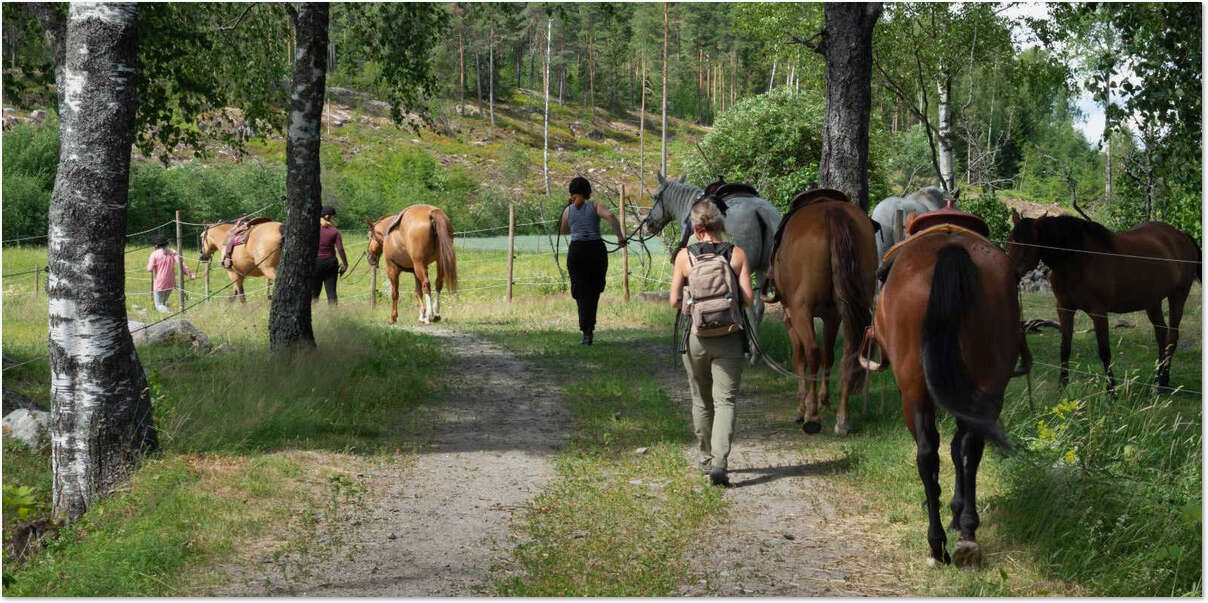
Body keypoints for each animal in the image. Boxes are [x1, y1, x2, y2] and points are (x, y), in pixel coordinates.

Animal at [642, 172, 782, 331]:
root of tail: (760, 210)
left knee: (750, 310)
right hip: (762, 270)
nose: (648, 223)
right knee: (759, 309)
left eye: (654, 196)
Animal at [758, 188, 874, 435]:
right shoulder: (833, 315)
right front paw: (824, 399)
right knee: (849, 352)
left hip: (801, 311)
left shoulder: (791, 317)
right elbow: (829, 355)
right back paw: (842, 418)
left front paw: (803, 407)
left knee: (811, 352)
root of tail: (831, 212)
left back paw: (811, 415)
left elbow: (800, 356)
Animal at [869, 218, 1029, 570]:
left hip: (913, 391)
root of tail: (950, 250)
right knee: (969, 449)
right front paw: (958, 514)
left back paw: (937, 543)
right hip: (988, 385)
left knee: (928, 453)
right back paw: (967, 534)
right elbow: (959, 449)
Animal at [1005, 212, 1203, 389]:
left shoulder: (1099, 313)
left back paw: (1163, 382)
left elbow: (1104, 352)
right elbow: (1065, 348)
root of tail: (1182, 236)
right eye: (1009, 240)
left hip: (1178, 295)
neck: (1077, 259)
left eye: (1027, 244)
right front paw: (1062, 387)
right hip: (1152, 301)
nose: (1010, 274)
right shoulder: (1064, 309)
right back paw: (1158, 379)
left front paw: (1111, 391)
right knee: (1161, 333)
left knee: (1172, 337)